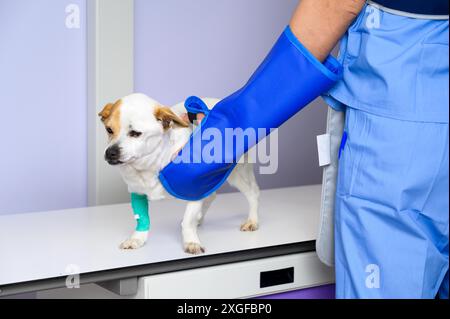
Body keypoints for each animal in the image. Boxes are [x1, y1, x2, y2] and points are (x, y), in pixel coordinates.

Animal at [99, 93, 260, 255]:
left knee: (253, 192)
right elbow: (142, 219)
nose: (110, 152)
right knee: (211, 196)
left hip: (235, 175)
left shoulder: (194, 189)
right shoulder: (137, 192)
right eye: (109, 130)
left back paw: (252, 221)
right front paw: (137, 239)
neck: (151, 165)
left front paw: (191, 241)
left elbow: (188, 220)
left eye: (135, 133)